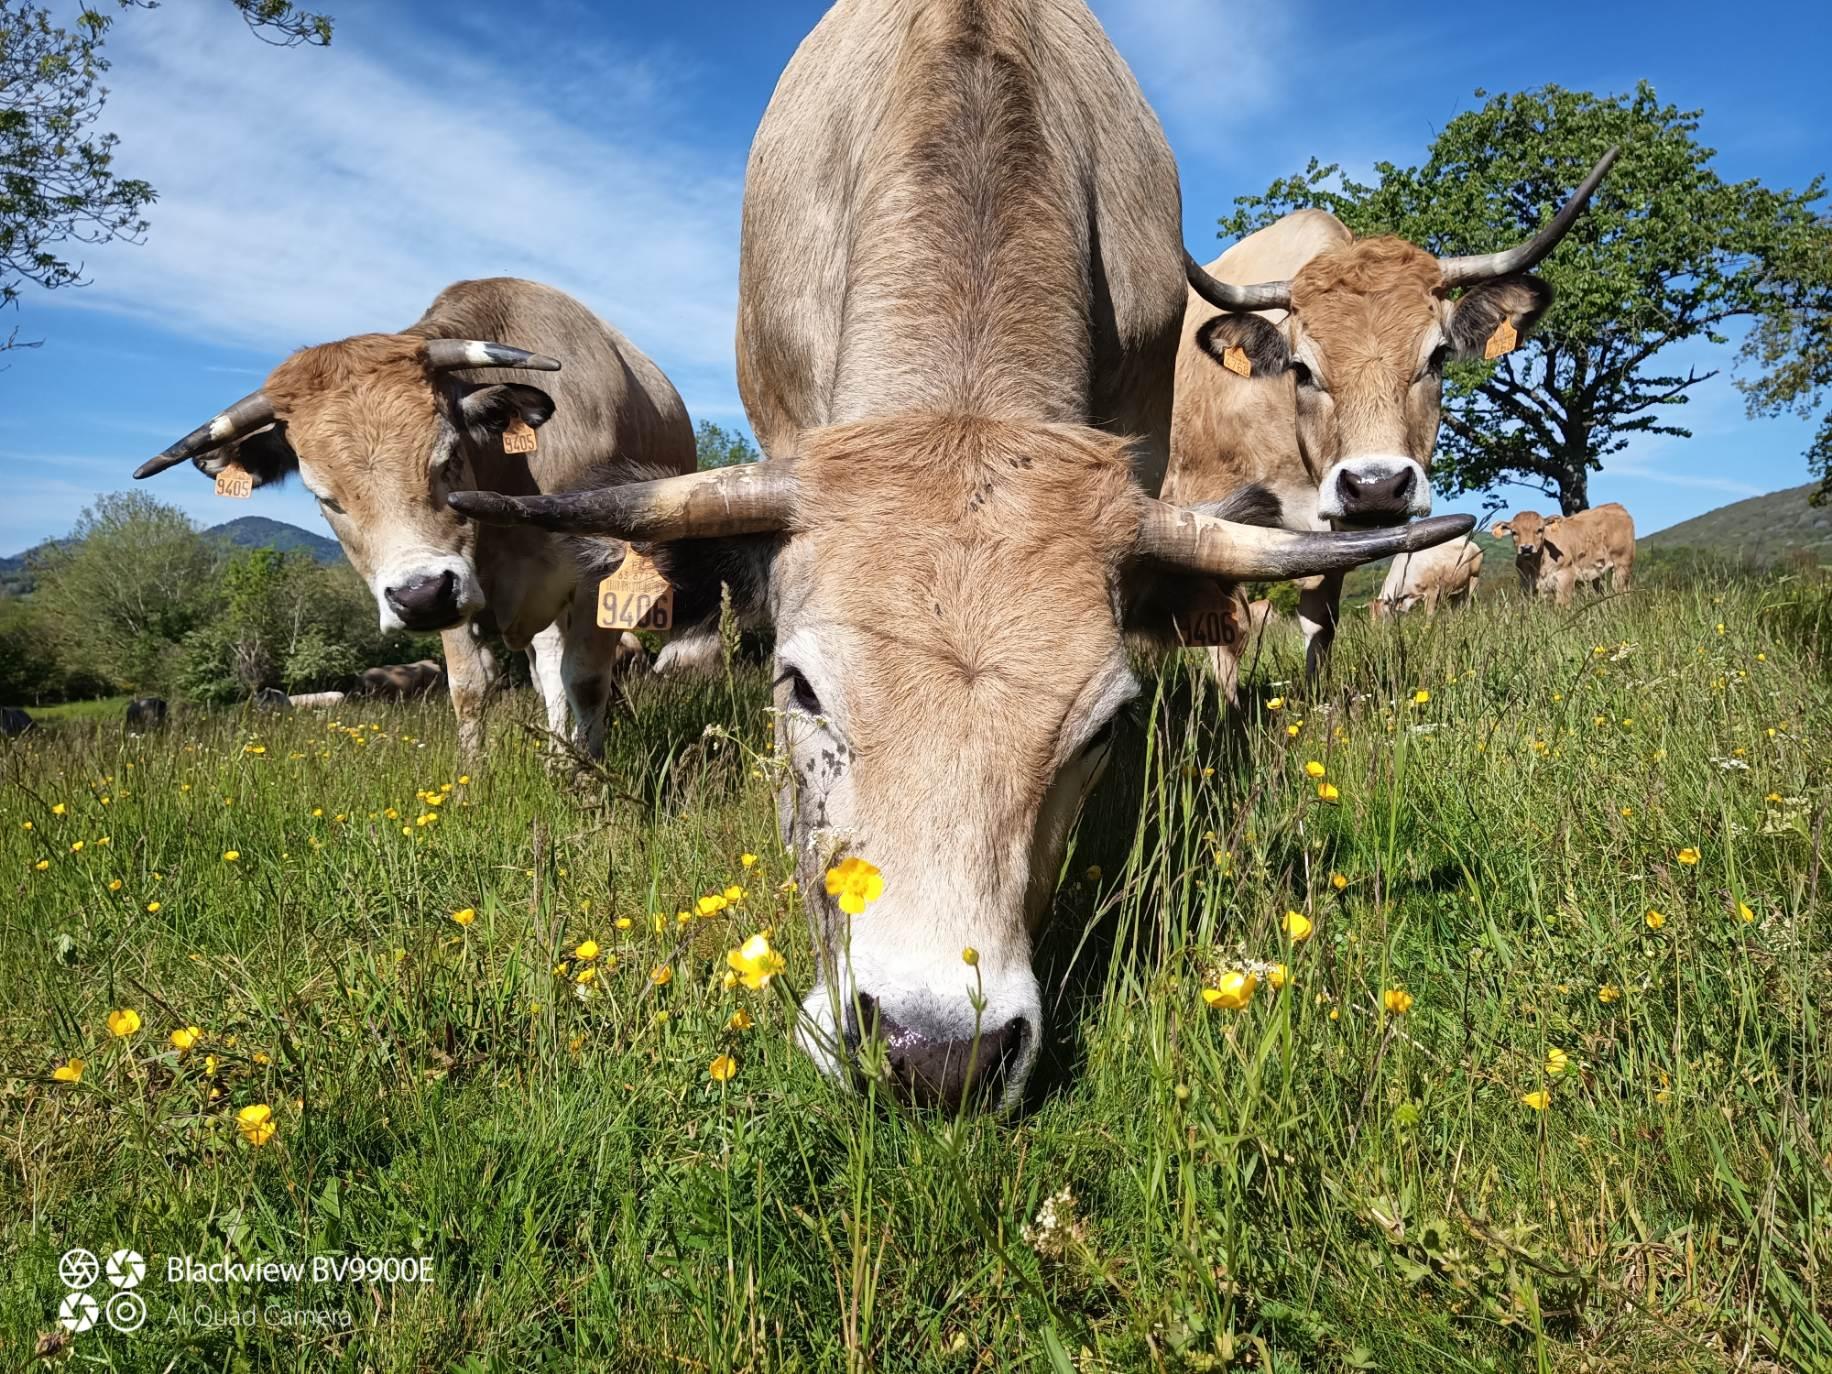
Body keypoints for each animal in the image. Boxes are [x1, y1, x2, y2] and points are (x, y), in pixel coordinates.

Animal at [1165, 152, 1612, 688]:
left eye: (1438, 356)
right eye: (1301, 368)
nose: (1376, 487)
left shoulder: (1334, 533)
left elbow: (1321, 621)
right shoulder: (1211, 514)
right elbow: (1228, 631)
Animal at [1494, 501, 1641, 604]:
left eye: (1540, 529)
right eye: (1514, 532)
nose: (1526, 548)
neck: (1537, 566)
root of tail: (1617, 506)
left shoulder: (1565, 577)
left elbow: (1562, 606)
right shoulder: (1526, 584)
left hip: (1623, 565)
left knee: (1622, 592)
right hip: (1597, 573)